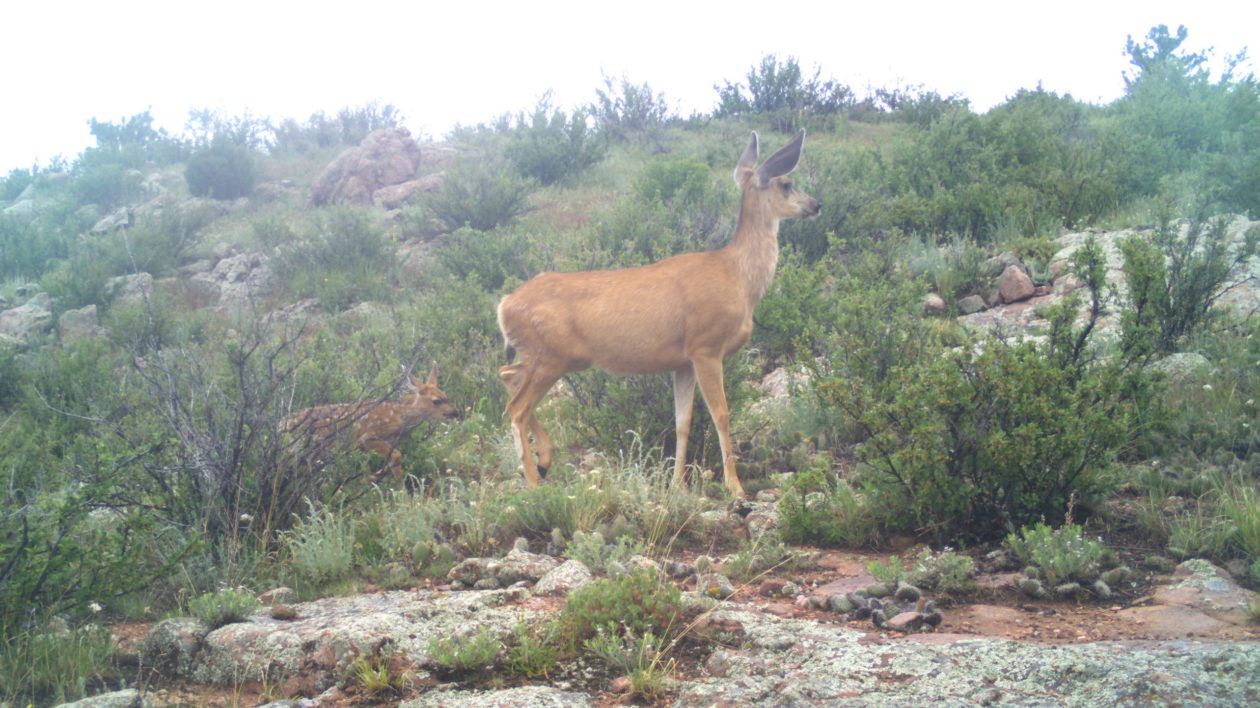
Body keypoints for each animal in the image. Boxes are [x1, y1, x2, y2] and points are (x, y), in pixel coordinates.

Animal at [280, 362, 458, 478]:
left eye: (446, 395)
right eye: (436, 401)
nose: (455, 413)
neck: (400, 418)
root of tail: (281, 424)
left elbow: (393, 459)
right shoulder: (366, 437)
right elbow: (397, 456)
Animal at [496, 129, 821, 493]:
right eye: (786, 184)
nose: (816, 205)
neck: (737, 277)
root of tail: (504, 304)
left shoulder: (683, 361)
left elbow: (682, 420)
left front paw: (678, 484)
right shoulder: (706, 346)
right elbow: (721, 414)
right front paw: (734, 486)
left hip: (550, 356)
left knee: (507, 375)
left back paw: (545, 460)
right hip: (550, 355)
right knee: (516, 408)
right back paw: (534, 481)